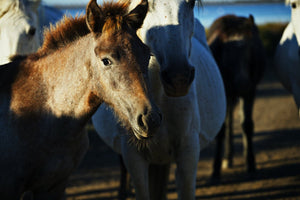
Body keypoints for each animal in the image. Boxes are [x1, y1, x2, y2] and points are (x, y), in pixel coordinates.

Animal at [207, 13, 266, 180]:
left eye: (251, 51)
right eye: (227, 57)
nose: (243, 84)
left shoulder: (250, 92)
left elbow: (247, 124)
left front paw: (250, 162)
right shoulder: (226, 92)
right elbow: (221, 130)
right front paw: (215, 168)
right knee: (228, 123)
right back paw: (227, 158)